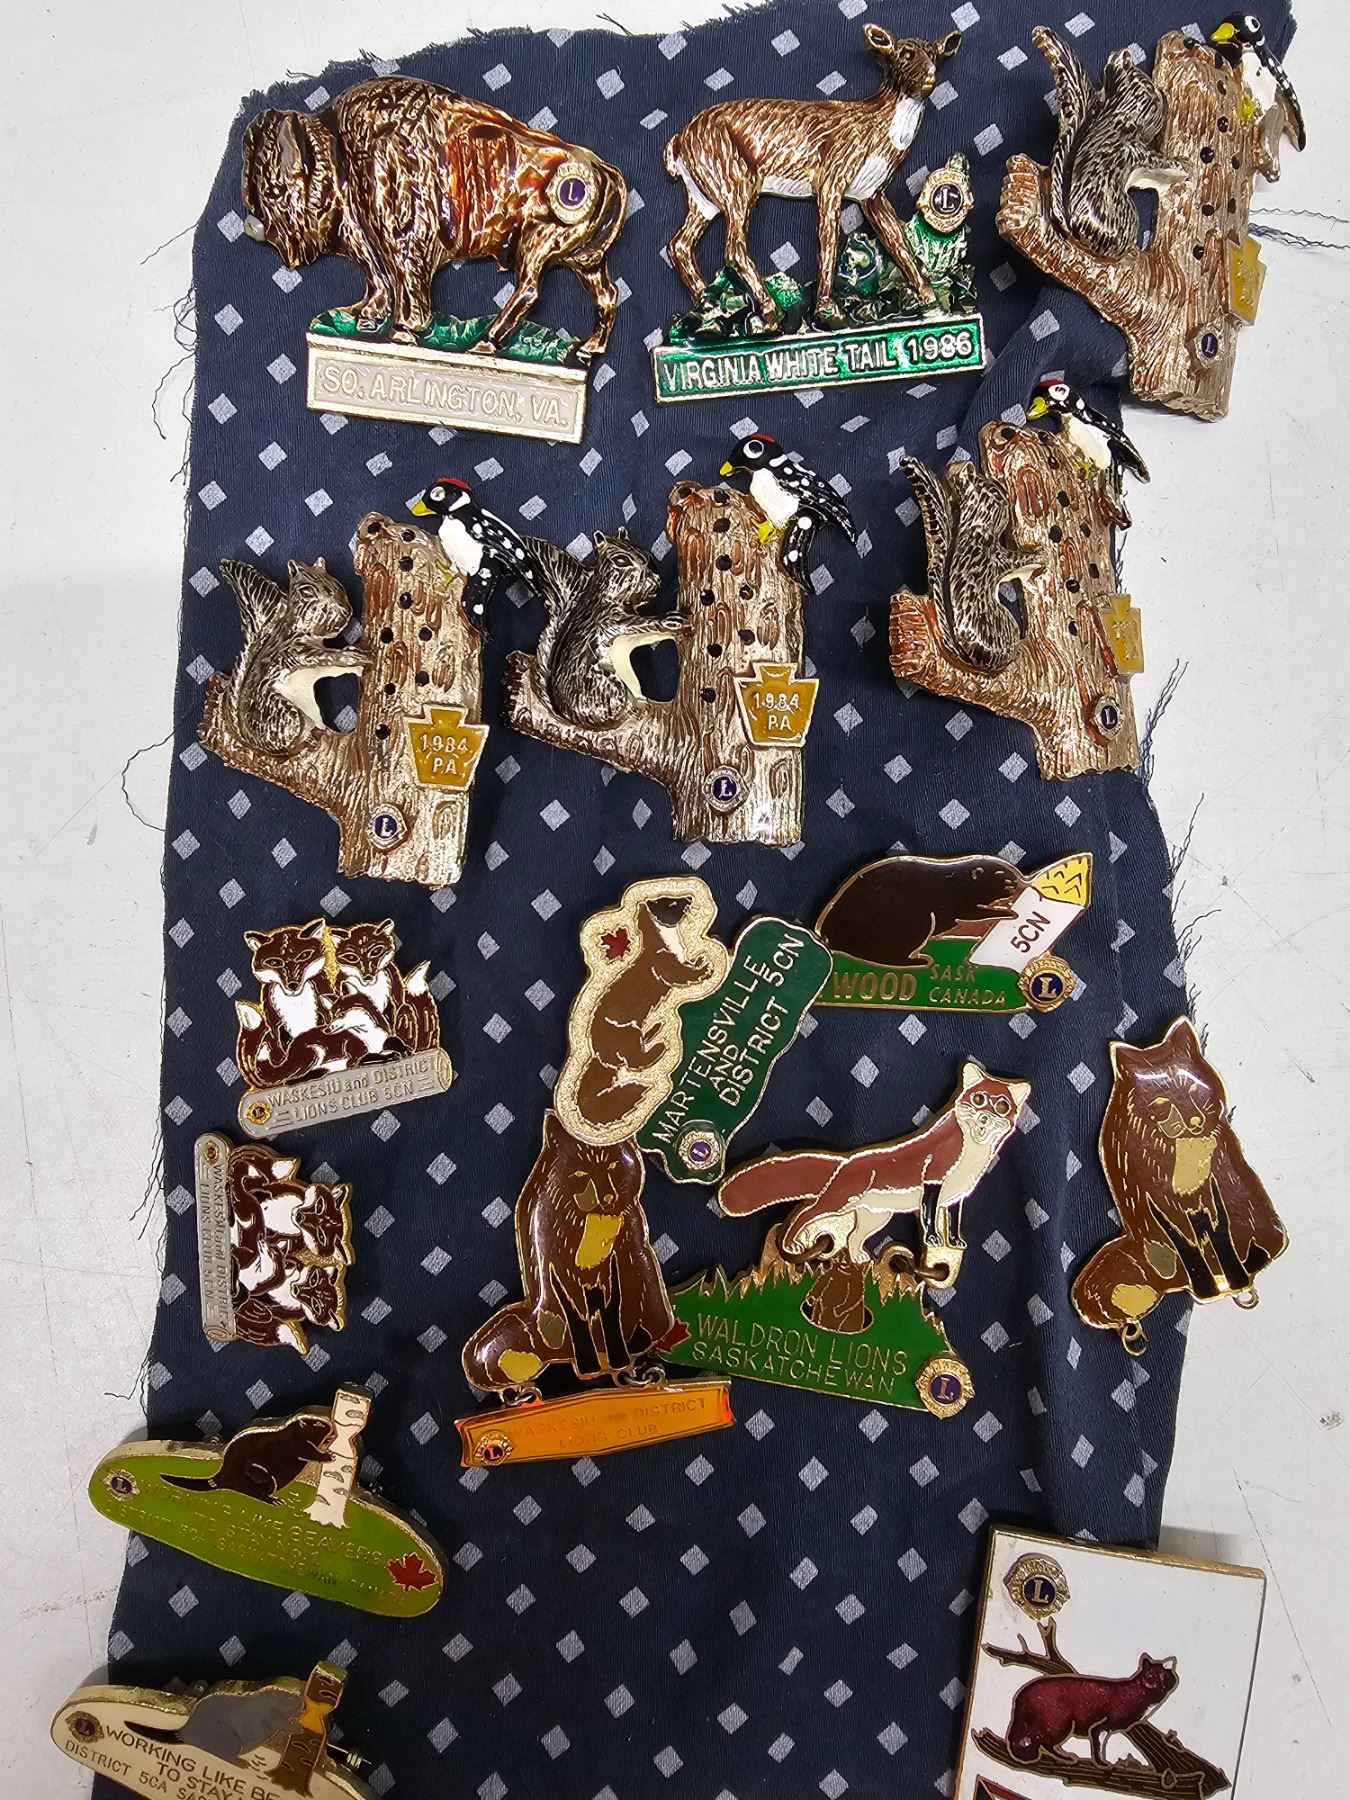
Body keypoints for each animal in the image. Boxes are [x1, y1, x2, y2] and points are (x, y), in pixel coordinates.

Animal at [663, 22, 962, 335]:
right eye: (904, 53)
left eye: (934, 54)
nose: (930, 75)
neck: (876, 128)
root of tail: (678, 141)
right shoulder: (832, 176)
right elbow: (828, 240)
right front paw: (829, 311)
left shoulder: (872, 193)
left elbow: (897, 241)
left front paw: (930, 300)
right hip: (735, 181)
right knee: (732, 249)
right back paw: (768, 313)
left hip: (704, 197)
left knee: (679, 245)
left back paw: (711, 311)